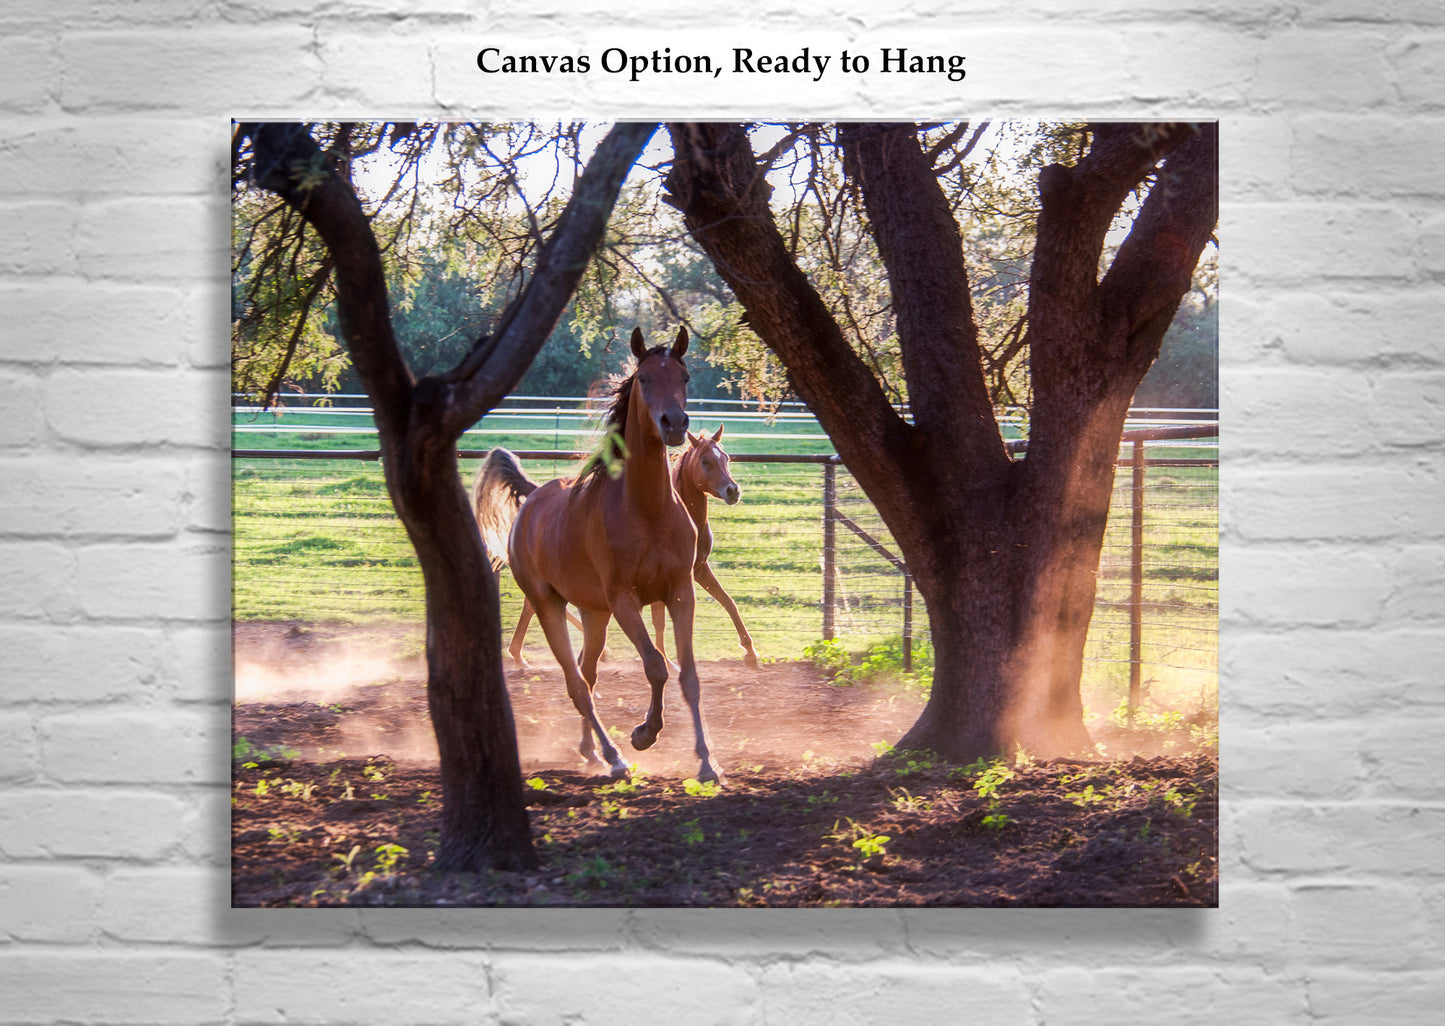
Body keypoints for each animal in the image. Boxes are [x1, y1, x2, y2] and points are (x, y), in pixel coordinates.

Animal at [476, 326, 723, 783]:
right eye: (643, 378)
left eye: (684, 377)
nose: (675, 423)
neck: (646, 509)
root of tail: (531, 498)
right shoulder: (624, 599)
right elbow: (657, 665)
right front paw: (644, 733)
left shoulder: (681, 592)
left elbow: (688, 674)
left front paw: (706, 762)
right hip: (550, 605)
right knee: (576, 683)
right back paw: (614, 757)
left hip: (594, 614)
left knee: (587, 673)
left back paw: (590, 750)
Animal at [648, 424, 759, 669]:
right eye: (705, 461)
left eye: (726, 458)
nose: (733, 491)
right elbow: (660, 620)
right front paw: (668, 662)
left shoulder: (699, 569)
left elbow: (728, 602)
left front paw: (750, 653)